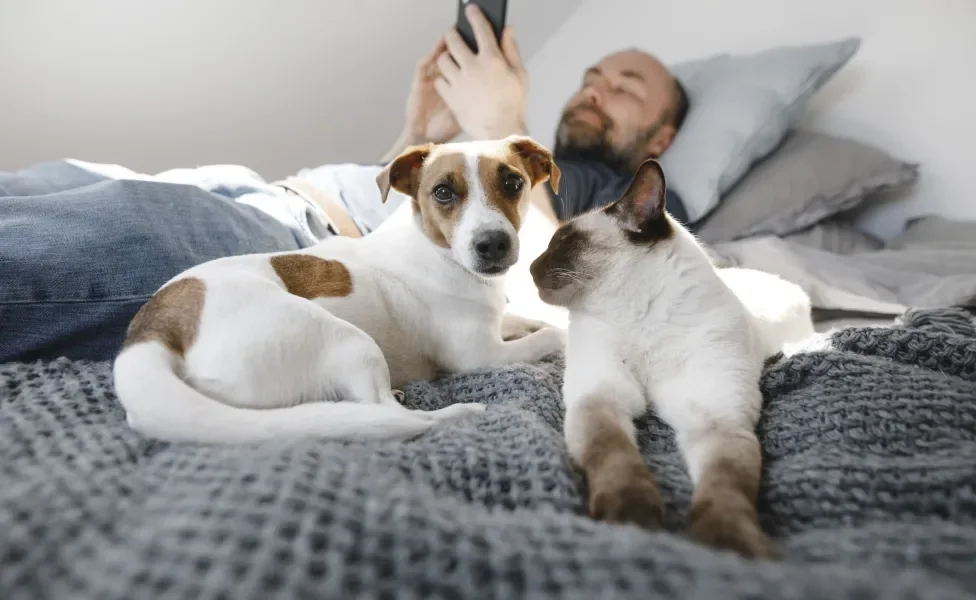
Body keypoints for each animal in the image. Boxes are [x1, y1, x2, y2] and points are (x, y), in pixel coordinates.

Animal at [116, 137, 564, 446]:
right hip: (349, 341)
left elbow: (528, 319)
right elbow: (550, 335)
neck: (439, 252)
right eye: (443, 192)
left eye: (513, 182)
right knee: (391, 414)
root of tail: (150, 331)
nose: (493, 245)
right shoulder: (480, 355)